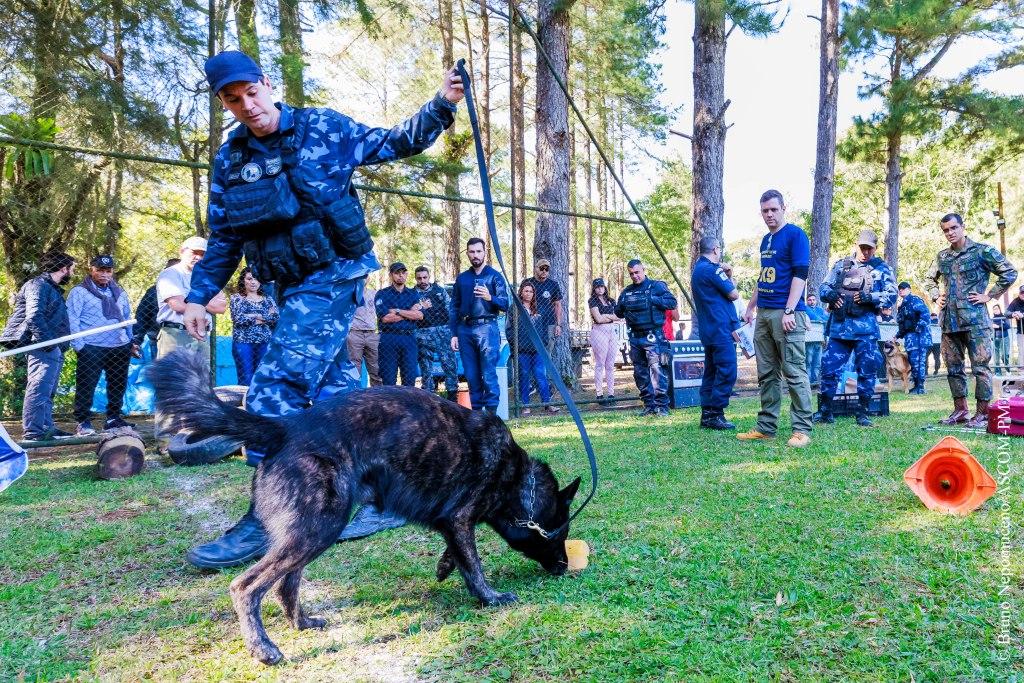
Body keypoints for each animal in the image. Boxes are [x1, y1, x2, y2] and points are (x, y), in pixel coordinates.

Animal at [149, 356, 581, 663]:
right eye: (559, 534)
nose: (564, 568)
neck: (517, 477)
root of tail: (286, 427)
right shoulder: (461, 517)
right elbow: (474, 565)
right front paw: (489, 597)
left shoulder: (451, 522)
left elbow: (459, 553)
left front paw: (445, 566)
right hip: (320, 525)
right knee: (247, 586)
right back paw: (263, 648)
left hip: (311, 530)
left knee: (286, 584)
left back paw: (302, 623)